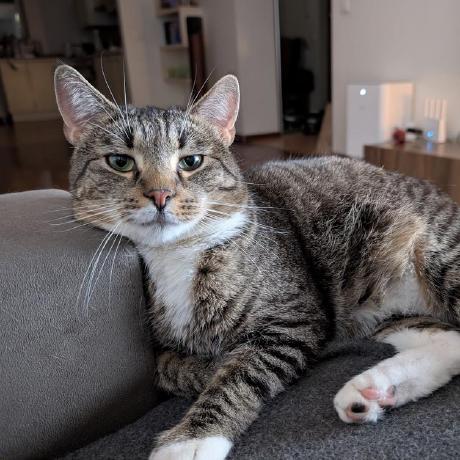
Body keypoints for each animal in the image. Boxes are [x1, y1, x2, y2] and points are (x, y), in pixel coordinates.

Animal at [54, 64, 460, 460]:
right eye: (120, 162)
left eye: (191, 161)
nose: (160, 195)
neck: (177, 254)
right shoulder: (162, 347)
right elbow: (167, 368)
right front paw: (204, 369)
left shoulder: (295, 319)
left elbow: (240, 374)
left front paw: (191, 440)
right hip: (383, 313)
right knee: (452, 341)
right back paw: (372, 392)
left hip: (438, 258)